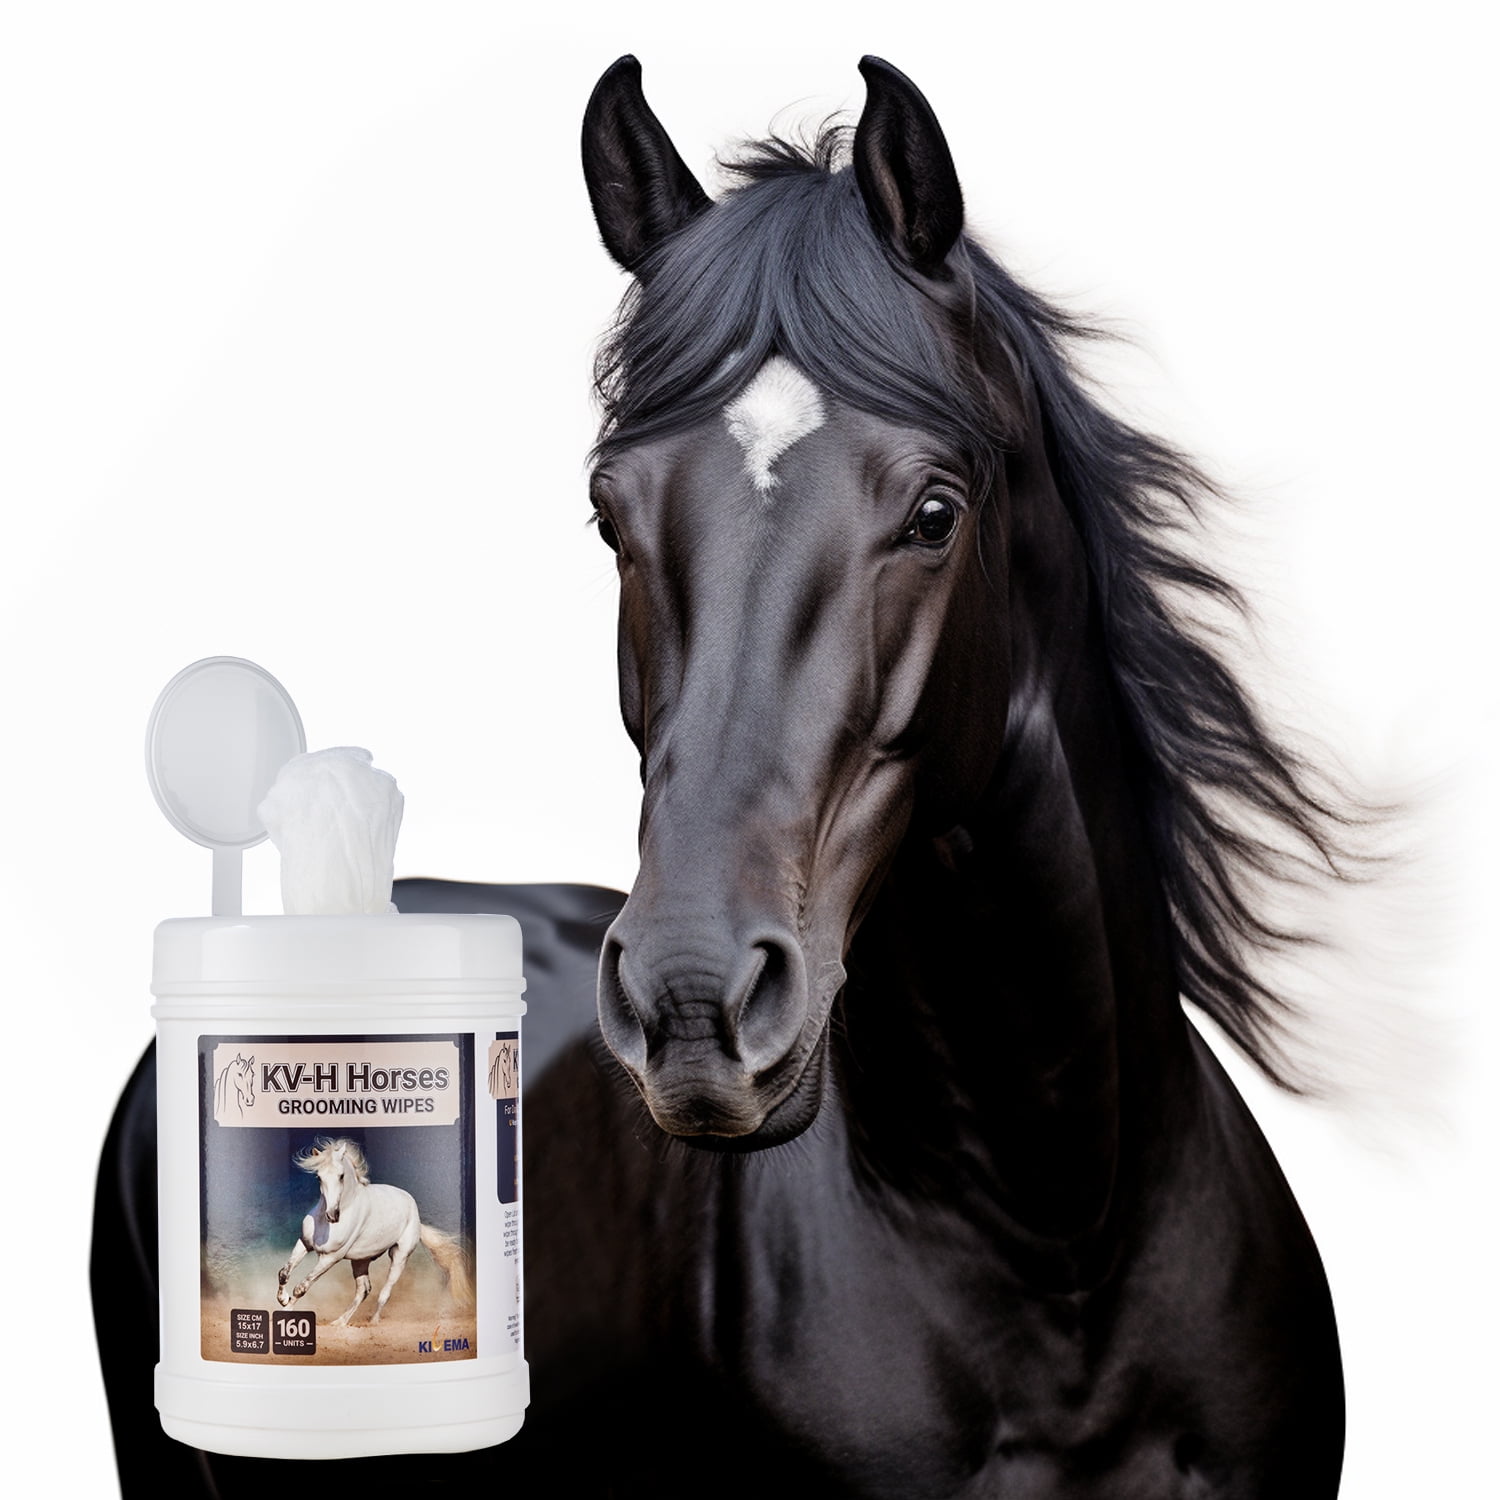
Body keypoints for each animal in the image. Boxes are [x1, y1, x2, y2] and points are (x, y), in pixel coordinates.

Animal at [276, 1137, 473, 1327]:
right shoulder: (304, 1243)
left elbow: (302, 1287)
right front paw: (283, 1300)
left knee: (385, 1291)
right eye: (318, 1177)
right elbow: (284, 1273)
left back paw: (373, 1322)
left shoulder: (330, 1258)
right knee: (363, 1289)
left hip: (399, 1256)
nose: (332, 1215)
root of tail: (416, 1216)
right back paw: (340, 1322)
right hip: (360, 1260)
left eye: (341, 1176)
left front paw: (285, 1312)